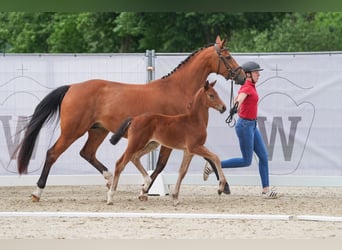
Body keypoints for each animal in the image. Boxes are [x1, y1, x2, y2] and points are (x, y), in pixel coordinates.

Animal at [16, 36, 246, 202]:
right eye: (227, 56)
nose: (242, 76)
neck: (178, 89)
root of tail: (72, 87)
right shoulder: (172, 139)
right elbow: (162, 165)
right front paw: (144, 190)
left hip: (98, 131)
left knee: (87, 153)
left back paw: (109, 180)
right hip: (73, 131)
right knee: (53, 153)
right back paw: (37, 192)